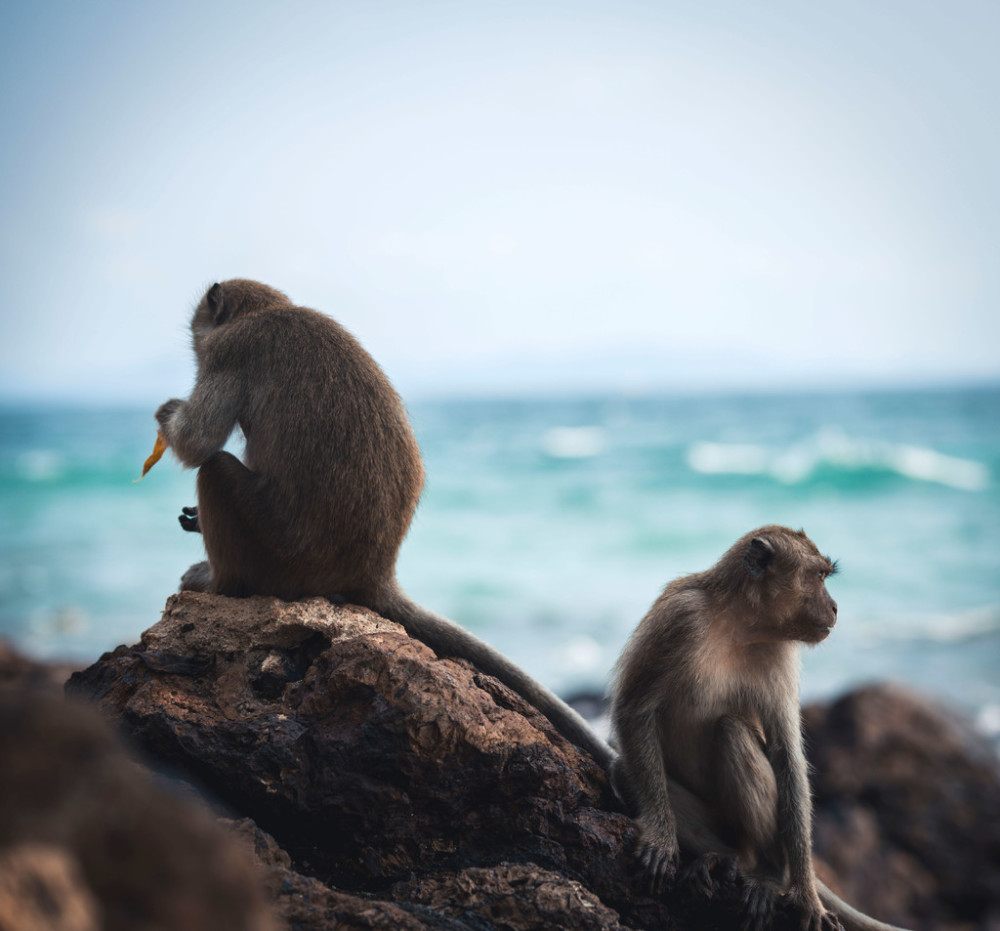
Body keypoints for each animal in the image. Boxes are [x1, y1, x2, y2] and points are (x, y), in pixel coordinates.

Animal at [153, 278, 612, 772]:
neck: (265, 311)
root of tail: (374, 571)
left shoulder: (229, 351)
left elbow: (198, 443)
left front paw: (168, 415)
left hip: (274, 553)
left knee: (216, 470)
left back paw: (217, 583)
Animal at [604, 528, 912, 931]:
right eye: (818, 576)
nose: (834, 607)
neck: (737, 624)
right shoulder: (680, 618)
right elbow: (635, 709)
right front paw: (660, 835)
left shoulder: (780, 652)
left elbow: (785, 754)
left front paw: (805, 894)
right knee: (624, 770)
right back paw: (719, 857)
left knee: (732, 732)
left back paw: (768, 873)